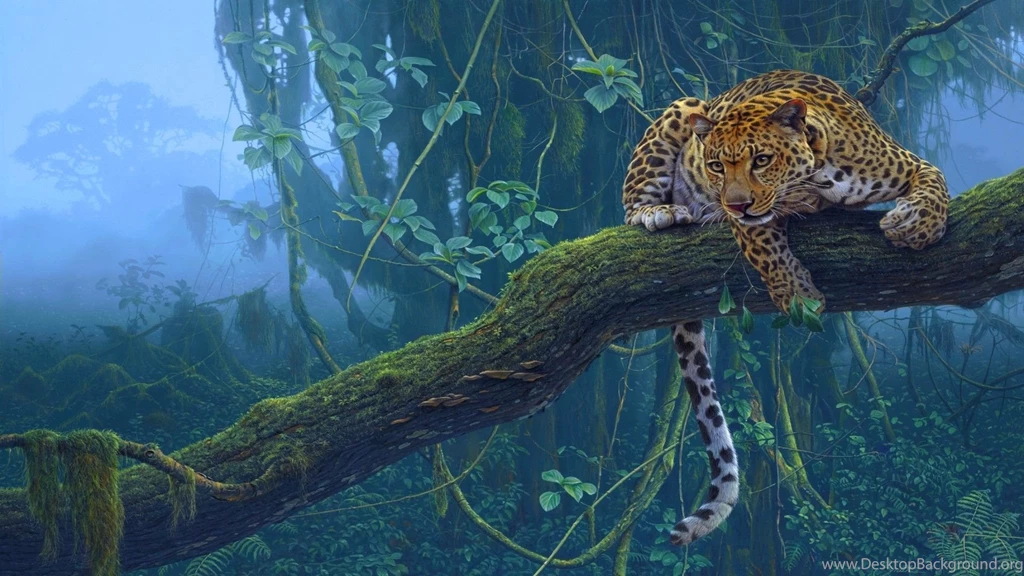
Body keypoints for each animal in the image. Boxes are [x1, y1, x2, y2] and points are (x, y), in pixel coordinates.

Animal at [621, 69, 948, 545]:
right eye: (715, 165)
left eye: (761, 159)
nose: (734, 203)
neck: (821, 174)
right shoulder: (748, 222)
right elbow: (764, 244)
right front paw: (797, 294)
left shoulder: (906, 162)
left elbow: (935, 180)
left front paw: (916, 225)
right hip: (683, 107)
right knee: (631, 207)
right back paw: (660, 212)